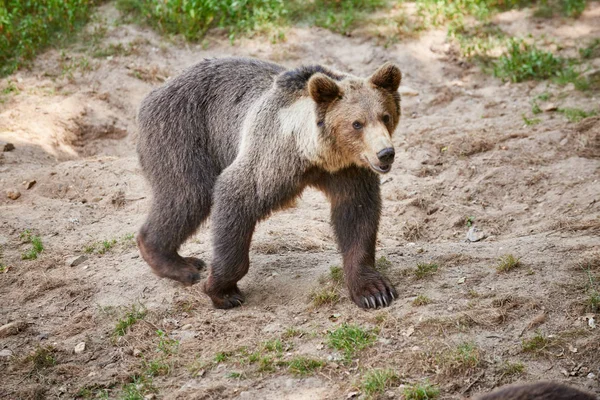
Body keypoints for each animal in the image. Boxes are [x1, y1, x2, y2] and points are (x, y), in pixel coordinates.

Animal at [137, 57, 404, 310]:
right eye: (357, 123)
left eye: (385, 116)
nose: (385, 153)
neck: (312, 155)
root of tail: (156, 91)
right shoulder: (271, 159)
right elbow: (236, 193)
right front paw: (223, 292)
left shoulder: (349, 171)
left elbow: (357, 216)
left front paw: (374, 292)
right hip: (182, 132)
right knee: (188, 195)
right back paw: (181, 265)